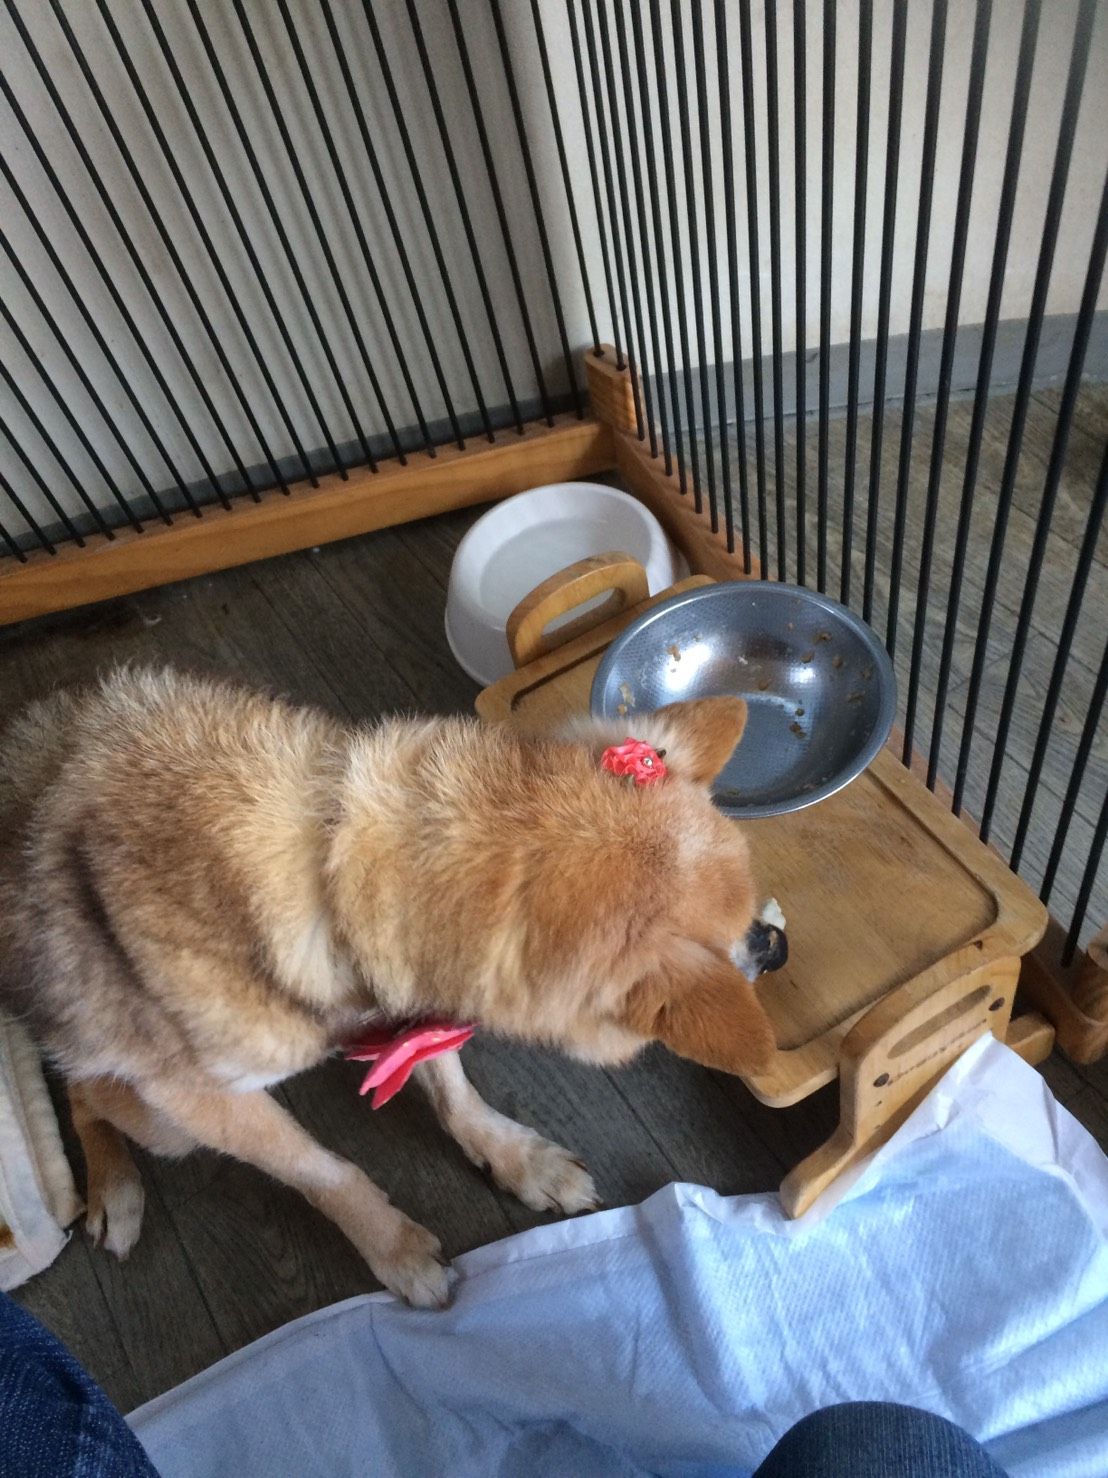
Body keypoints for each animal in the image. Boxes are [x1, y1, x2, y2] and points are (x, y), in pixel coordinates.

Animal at [0, 667, 775, 1306]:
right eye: (736, 936)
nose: (775, 944)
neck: (328, 862)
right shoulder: (205, 1102)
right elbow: (325, 1173)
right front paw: (396, 1251)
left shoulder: (410, 1003)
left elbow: (452, 1087)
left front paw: (514, 1158)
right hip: (161, 1120)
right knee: (84, 1088)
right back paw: (112, 1187)